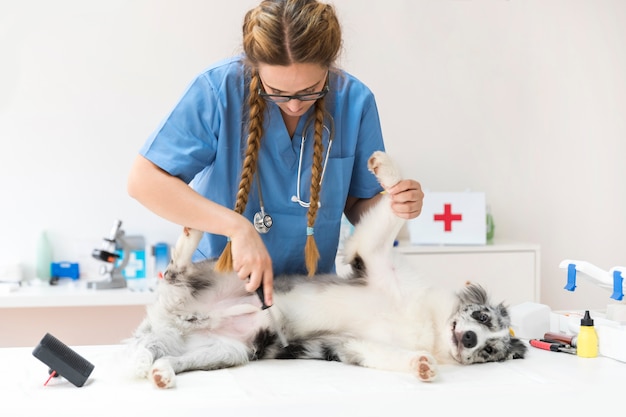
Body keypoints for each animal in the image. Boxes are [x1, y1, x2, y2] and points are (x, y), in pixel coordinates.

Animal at [129, 150, 524, 386]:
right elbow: (394, 210)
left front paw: (422, 365)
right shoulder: (372, 255)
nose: (471, 339)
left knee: (175, 357)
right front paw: (386, 169)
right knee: (177, 266)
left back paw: (162, 373)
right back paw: (191, 231)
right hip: (228, 273)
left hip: (228, 350)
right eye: (482, 317)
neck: (430, 325)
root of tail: (169, 321)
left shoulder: (354, 344)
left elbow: (395, 356)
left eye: (490, 351)